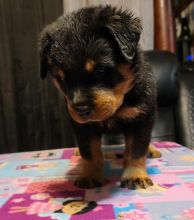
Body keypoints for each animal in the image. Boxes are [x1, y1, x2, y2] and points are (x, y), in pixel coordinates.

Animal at [39, 5, 161, 191]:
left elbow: (137, 150)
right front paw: (89, 175)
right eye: (61, 79)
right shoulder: (82, 127)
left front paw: (135, 176)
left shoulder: (141, 118)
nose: (81, 109)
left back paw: (151, 150)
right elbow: (89, 152)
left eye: (101, 70)